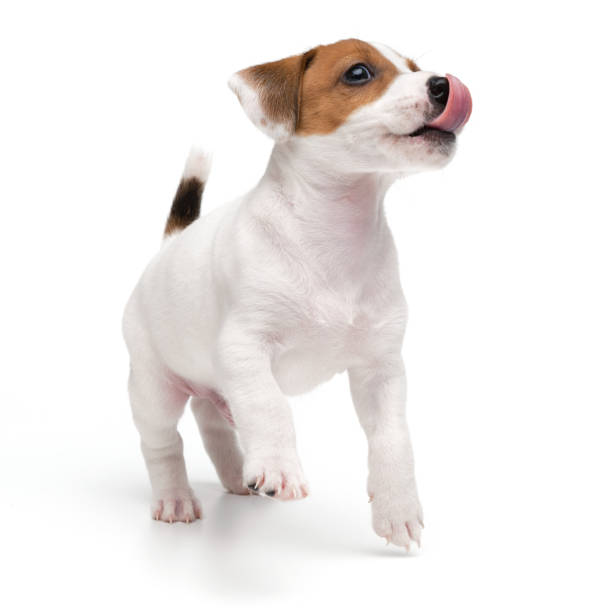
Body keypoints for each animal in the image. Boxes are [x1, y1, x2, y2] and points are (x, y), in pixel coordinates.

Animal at [122, 37, 470, 548]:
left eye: (413, 67)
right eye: (358, 73)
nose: (445, 84)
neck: (335, 236)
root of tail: (170, 245)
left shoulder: (381, 369)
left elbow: (393, 438)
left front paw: (397, 507)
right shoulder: (245, 346)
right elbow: (270, 405)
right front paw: (279, 468)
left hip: (213, 386)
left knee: (212, 424)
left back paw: (236, 475)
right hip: (154, 386)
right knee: (163, 443)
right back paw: (176, 499)